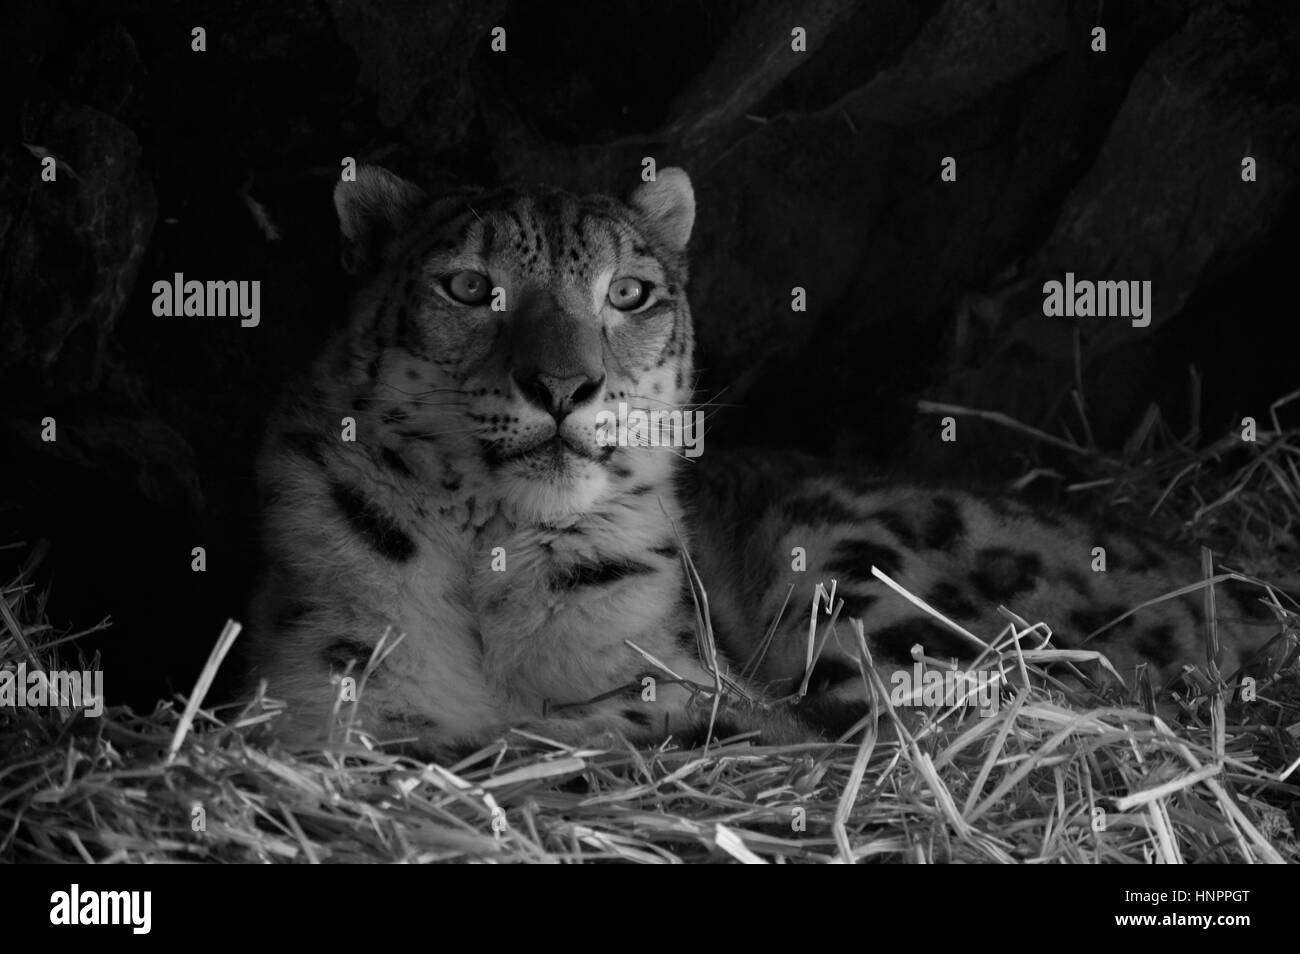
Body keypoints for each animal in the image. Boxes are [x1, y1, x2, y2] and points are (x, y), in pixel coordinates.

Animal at [246, 164, 1287, 756]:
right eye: (468, 286)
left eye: (629, 292)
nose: (566, 386)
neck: (489, 565)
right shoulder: (315, 677)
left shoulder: (680, 670)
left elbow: (675, 713)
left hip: (852, 561)